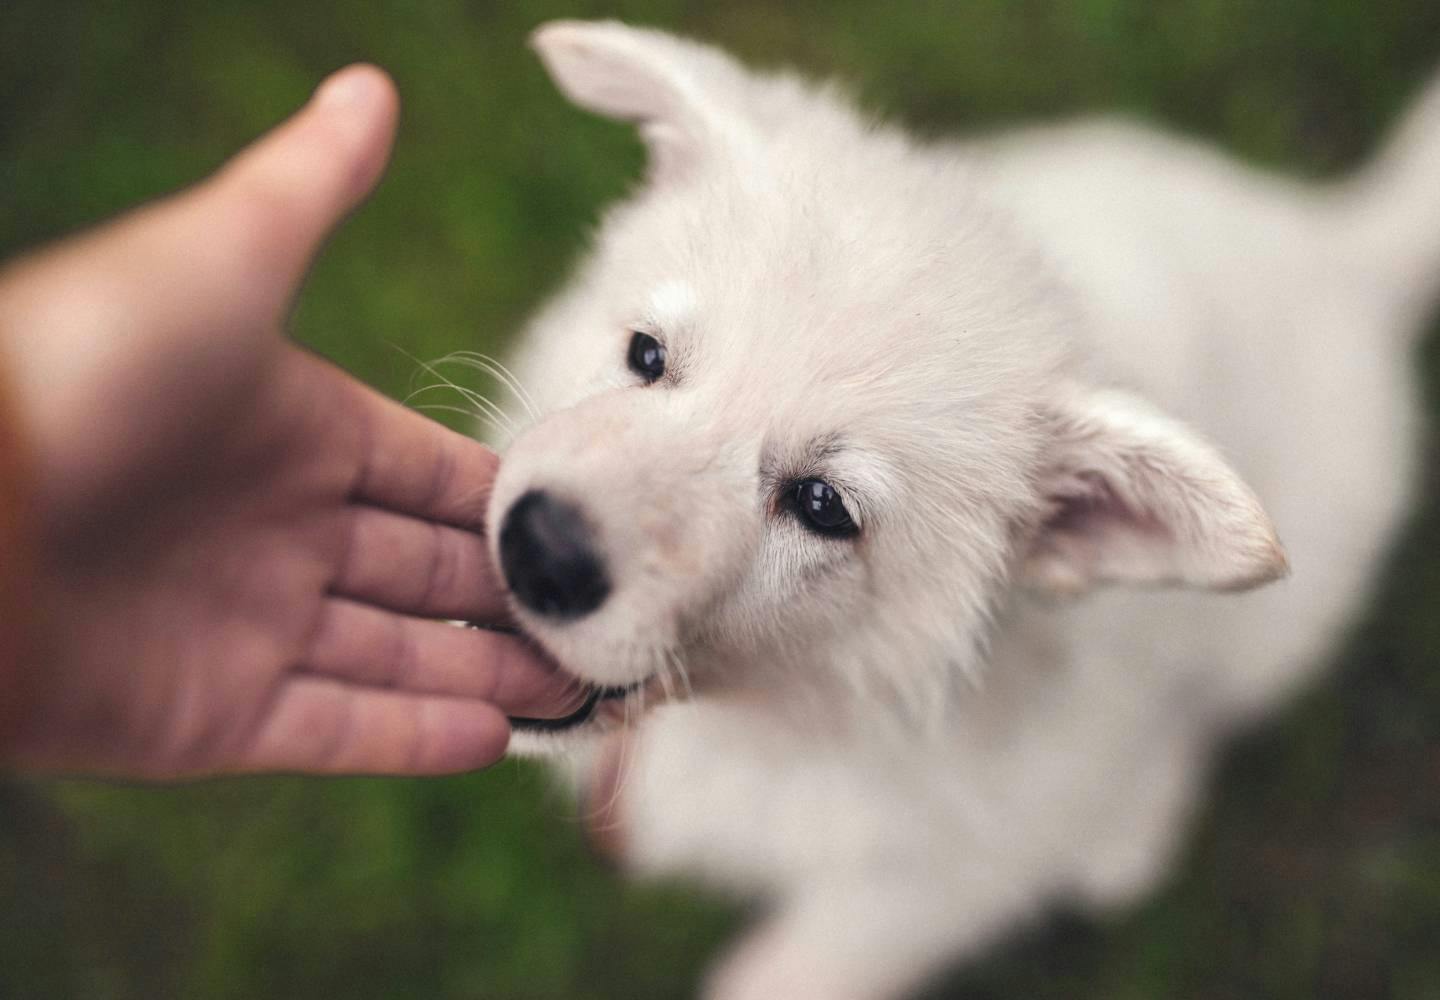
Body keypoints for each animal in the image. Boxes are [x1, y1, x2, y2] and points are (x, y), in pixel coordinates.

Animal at [480, 21, 1440, 1000]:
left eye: (822, 505)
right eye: (646, 354)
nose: (540, 548)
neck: (789, 718)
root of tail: (1338, 249)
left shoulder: (953, 868)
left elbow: (807, 963)